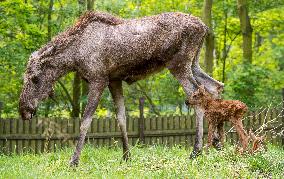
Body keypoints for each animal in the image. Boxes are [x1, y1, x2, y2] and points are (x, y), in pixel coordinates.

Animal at [18, 11, 223, 166]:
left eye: (35, 78)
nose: (23, 110)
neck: (74, 58)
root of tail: (204, 28)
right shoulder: (114, 80)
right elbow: (121, 117)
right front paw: (126, 156)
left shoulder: (98, 79)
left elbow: (85, 122)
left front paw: (74, 161)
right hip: (193, 63)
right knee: (215, 87)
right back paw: (218, 143)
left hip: (178, 64)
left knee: (197, 96)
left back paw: (196, 151)